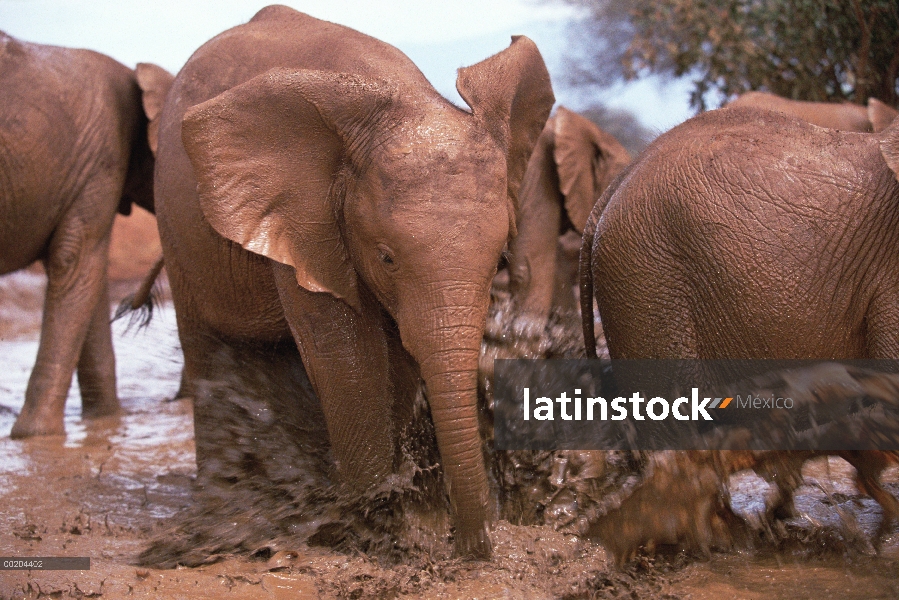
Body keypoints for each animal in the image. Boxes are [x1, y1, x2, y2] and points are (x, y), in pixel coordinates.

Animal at [0, 31, 174, 436]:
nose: (134, 306)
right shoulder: (102, 156)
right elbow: (76, 261)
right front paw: (37, 436)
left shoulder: (91, 165)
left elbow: (85, 275)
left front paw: (104, 421)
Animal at [151, 5, 552, 556]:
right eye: (386, 257)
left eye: (499, 262)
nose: (477, 547)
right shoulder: (308, 217)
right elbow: (348, 359)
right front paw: (374, 523)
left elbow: (396, 364)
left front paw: (400, 514)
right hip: (177, 232)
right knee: (207, 346)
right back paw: (224, 501)